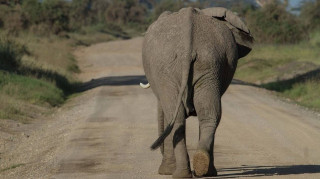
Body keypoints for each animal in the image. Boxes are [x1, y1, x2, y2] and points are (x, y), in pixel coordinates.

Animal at [141, 6, 254, 178]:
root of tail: (188, 46)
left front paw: (165, 171)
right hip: (209, 64)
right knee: (209, 114)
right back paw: (203, 168)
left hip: (170, 70)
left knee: (176, 118)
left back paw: (180, 173)